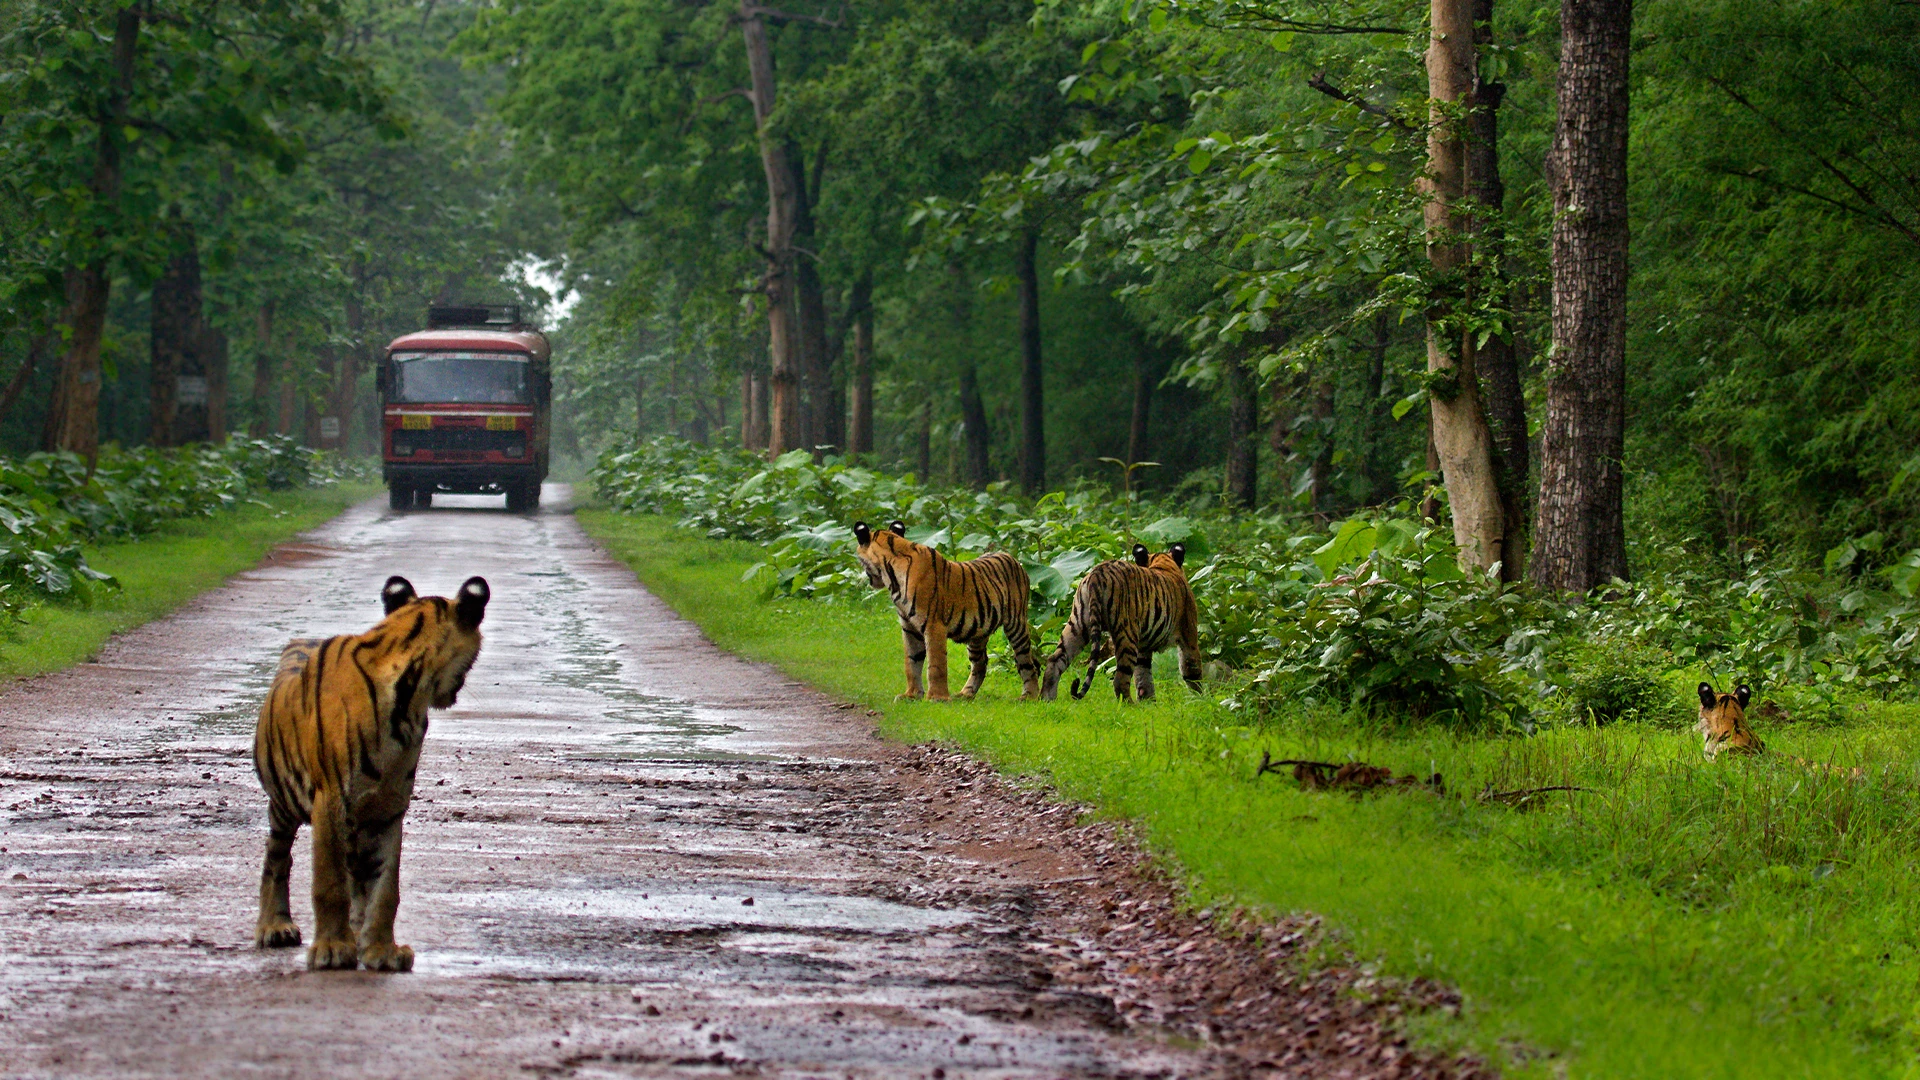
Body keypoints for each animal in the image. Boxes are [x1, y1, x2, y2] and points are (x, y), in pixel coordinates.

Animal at [252, 574, 490, 971]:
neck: (408, 702)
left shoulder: (387, 806)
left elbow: (384, 886)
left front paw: (381, 950)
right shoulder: (331, 798)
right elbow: (329, 882)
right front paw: (332, 949)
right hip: (284, 805)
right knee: (277, 860)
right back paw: (275, 926)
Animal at [852, 519, 1041, 701]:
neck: (891, 574)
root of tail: (1014, 559)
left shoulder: (933, 624)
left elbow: (936, 664)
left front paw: (937, 697)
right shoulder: (909, 627)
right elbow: (911, 662)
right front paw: (911, 695)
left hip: (1016, 624)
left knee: (1026, 662)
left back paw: (1029, 695)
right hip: (977, 631)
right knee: (981, 662)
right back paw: (966, 694)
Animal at [1042, 542, 1202, 702]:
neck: (1164, 564)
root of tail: (1097, 573)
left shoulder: (1143, 647)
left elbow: (1143, 677)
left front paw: (1149, 702)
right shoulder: (1189, 636)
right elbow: (1192, 671)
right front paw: (1200, 699)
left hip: (1077, 625)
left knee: (1054, 660)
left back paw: (1047, 699)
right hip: (1127, 633)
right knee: (1120, 677)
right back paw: (1129, 704)